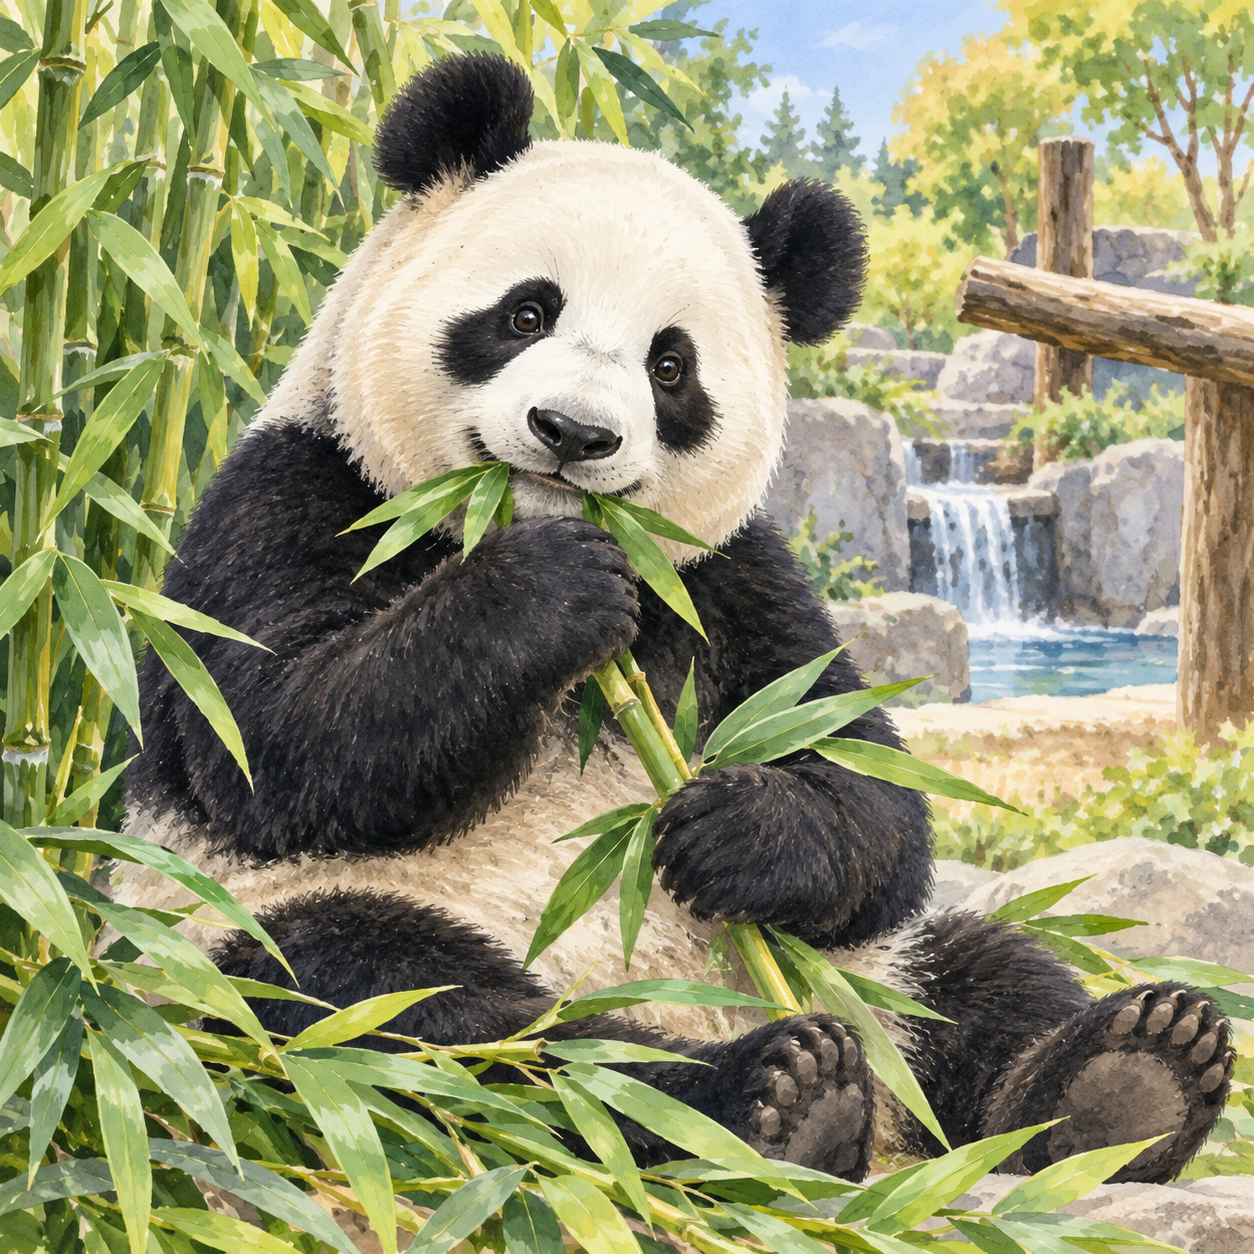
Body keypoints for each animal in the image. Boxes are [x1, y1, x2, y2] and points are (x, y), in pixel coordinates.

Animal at [116, 53, 1231, 1183]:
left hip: (869, 976)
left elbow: (867, 793)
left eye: (670, 366)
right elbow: (275, 743)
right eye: (525, 314)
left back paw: (1125, 1081)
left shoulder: (730, 582)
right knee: (427, 1012)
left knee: (980, 972)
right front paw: (547, 592)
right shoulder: (294, 494)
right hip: (259, 932)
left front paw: (735, 826)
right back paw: (772, 1096)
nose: (573, 433)